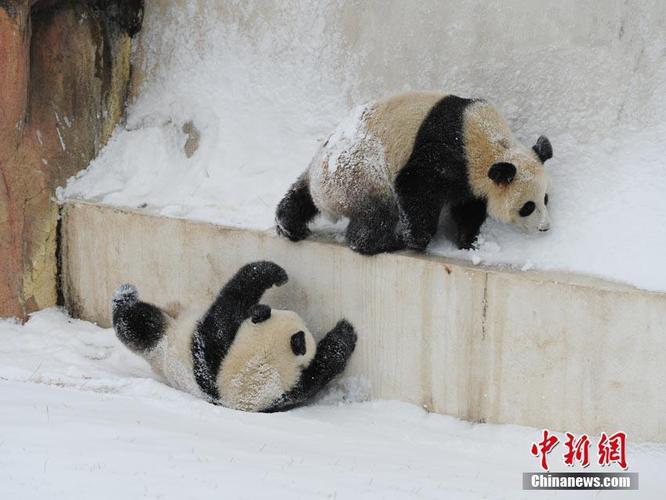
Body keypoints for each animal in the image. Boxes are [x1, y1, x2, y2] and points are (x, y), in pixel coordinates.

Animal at [111, 260, 356, 412]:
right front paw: (272, 272)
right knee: (136, 322)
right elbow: (228, 306)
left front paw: (342, 336)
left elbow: (314, 377)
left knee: (137, 326)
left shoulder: (282, 395)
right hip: (166, 339)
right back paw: (125, 295)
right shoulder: (213, 356)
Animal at [272, 91, 552, 254]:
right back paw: (384, 242)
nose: (545, 227)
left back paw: (288, 225)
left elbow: (468, 208)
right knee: (377, 214)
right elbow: (416, 188)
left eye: (546, 199)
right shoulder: (445, 152)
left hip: (321, 170)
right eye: (528, 206)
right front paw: (417, 239)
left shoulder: (470, 178)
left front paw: (469, 242)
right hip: (359, 178)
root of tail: (325, 198)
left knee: (300, 195)